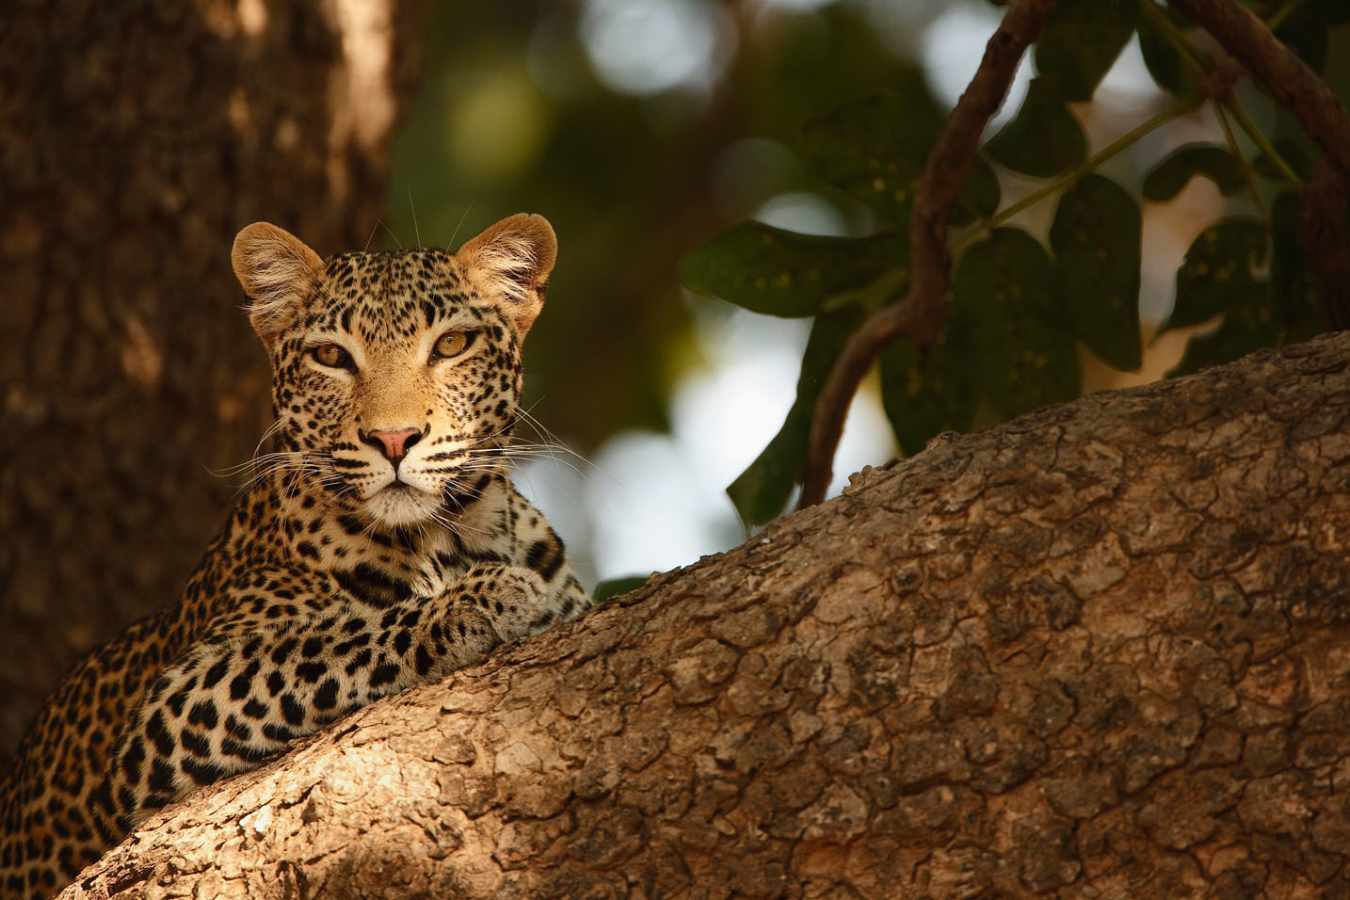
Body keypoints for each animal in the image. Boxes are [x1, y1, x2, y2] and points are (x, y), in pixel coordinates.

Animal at [0, 213, 592, 898]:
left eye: (451, 345)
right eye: (331, 356)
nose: (394, 439)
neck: (456, 536)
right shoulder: (174, 708)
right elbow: (334, 640)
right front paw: (483, 600)